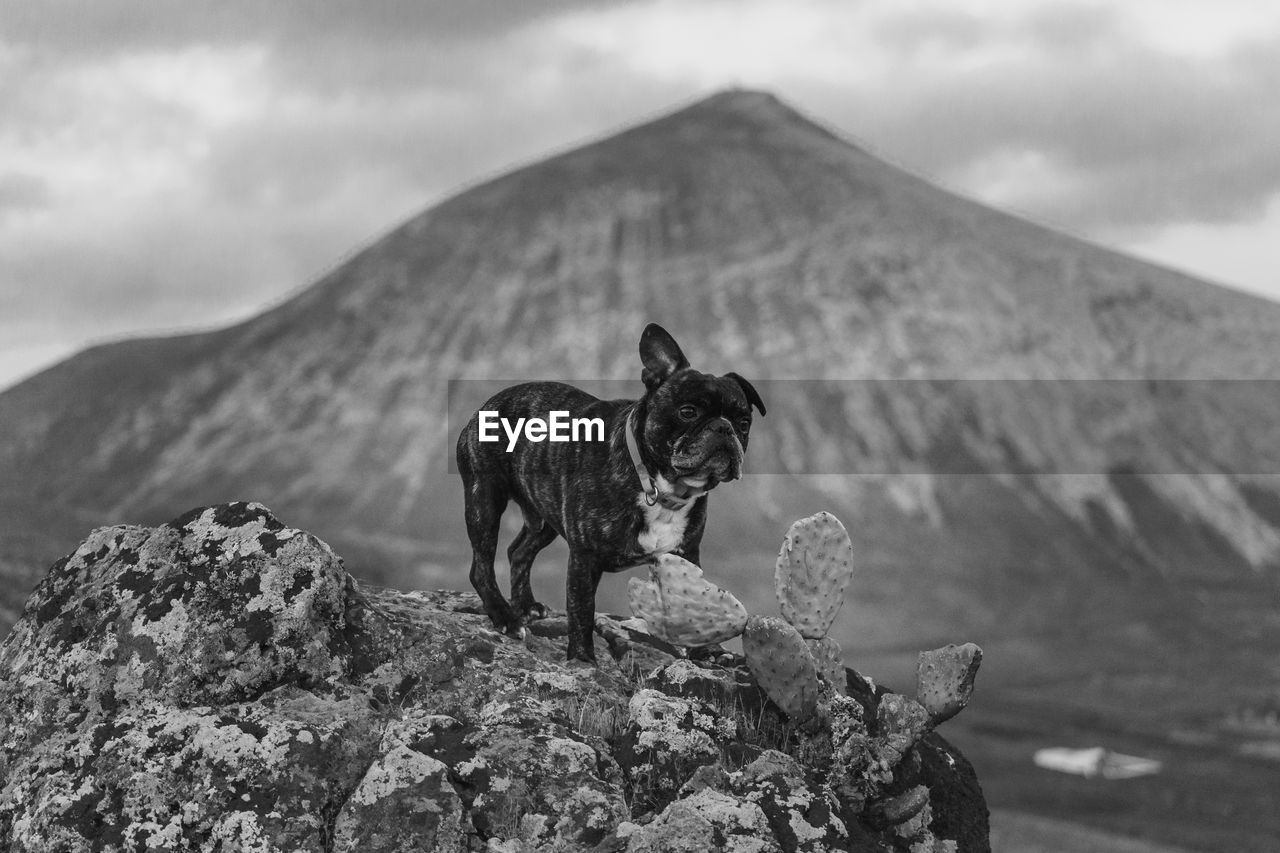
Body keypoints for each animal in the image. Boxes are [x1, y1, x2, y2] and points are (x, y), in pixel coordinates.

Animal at [455, 322, 762, 660]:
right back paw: (505, 617)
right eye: (688, 411)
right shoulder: (584, 558)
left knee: (519, 551)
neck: (658, 486)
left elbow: (698, 603)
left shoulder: (687, 555)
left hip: (543, 516)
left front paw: (707, 649)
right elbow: (581, 610)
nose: (723, 427)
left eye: (744, 422)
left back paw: (526, 606)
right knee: (482, 565)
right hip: (485, 498)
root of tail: (486, 405)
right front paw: (582, 659)